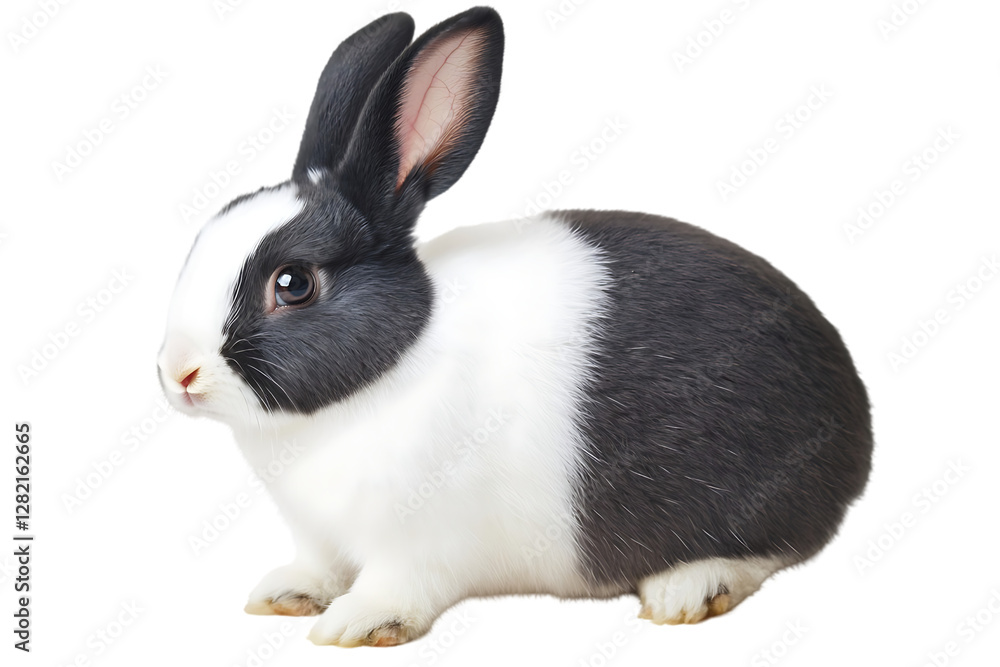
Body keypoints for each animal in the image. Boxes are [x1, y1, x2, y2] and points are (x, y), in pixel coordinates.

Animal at [157, 6, 873, 647]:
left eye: (293, 284)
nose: (177, 373)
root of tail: (853, 413)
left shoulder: (419, 543)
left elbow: (397, 587)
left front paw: (356, 626)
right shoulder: (320, 536)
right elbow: (320, 567)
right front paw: (285, 595)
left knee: (775, 546)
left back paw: (688, 589)